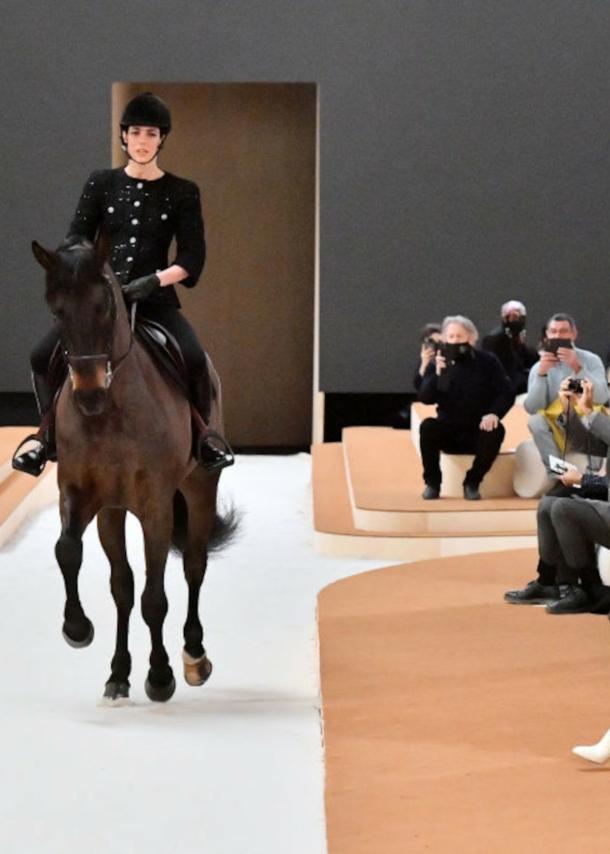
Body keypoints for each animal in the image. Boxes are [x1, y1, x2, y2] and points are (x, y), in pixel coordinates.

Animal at [30, 232, 236, 704]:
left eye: (105, 304)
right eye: (55, 310)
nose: (88, 394)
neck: (110, 413)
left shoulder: (156, 507)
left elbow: (154, 597)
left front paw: (160, 676)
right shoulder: (83, 495)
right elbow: (73, 554)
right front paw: (79, 631)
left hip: (200, 485)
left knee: (193, 564)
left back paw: (194, 656)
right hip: (114, 511)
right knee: (123, 586)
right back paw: (120, 671)